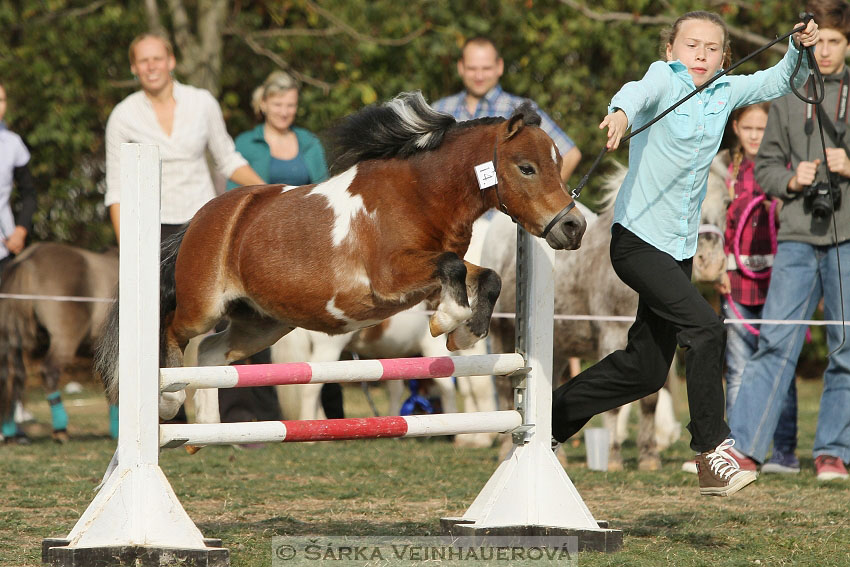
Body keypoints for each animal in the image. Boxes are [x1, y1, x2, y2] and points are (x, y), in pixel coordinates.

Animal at [94, 89, 584, 418]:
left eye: (558, 164)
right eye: (527, 168)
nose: (573, 227)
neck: (421, 195)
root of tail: (198, 221)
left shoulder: (432, 272)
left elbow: (485, 277)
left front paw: (462, 333)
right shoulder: (391, 278)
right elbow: (452, 271)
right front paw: (449, 320)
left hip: (264, 321)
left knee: (214, 353)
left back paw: (207, 429)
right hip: (203, 307)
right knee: (173, 330)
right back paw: (170, 400)